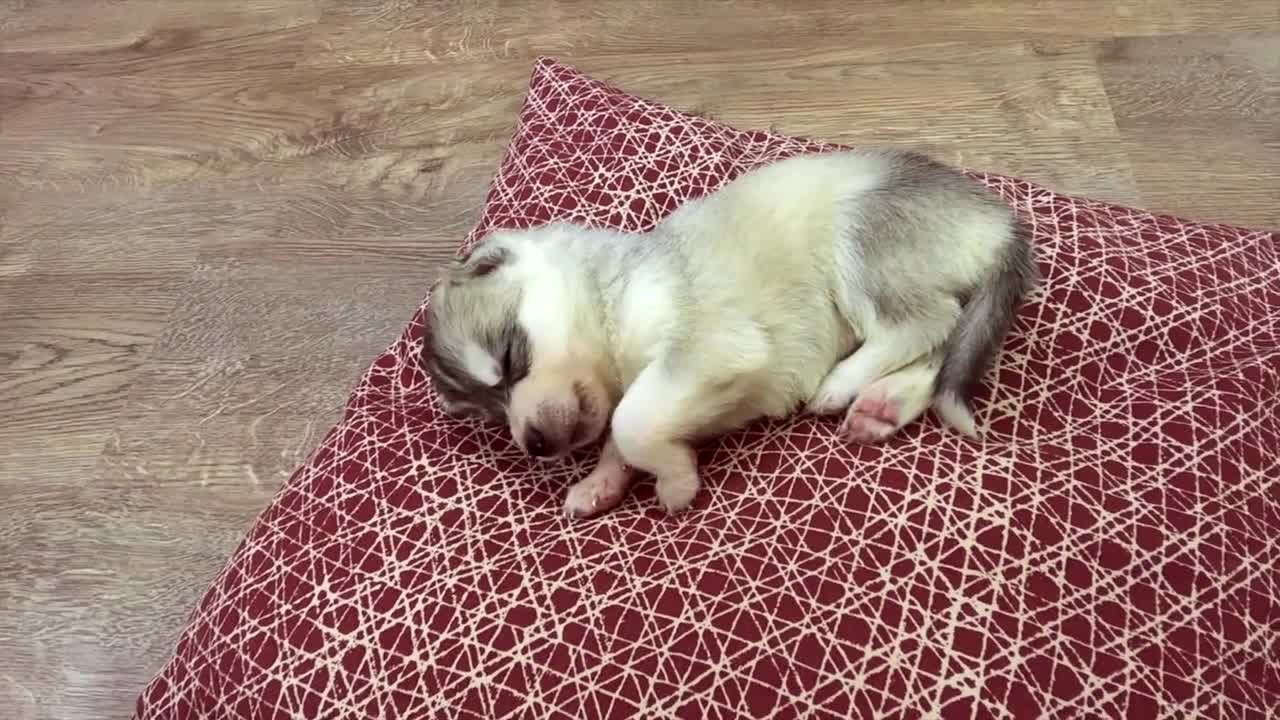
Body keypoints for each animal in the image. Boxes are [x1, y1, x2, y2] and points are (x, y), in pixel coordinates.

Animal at [419, 147, 1039, 515]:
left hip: (861, 243)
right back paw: (881, 404)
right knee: (945, 347)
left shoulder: (706, 348)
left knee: (927, 323)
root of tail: (1002, 220)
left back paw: (843, 383)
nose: (535, 445)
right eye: (490, 414)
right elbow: (621, 431)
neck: (608, 295)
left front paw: (674, 481)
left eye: (509, 357)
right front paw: (603, 481)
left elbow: (629, 421)